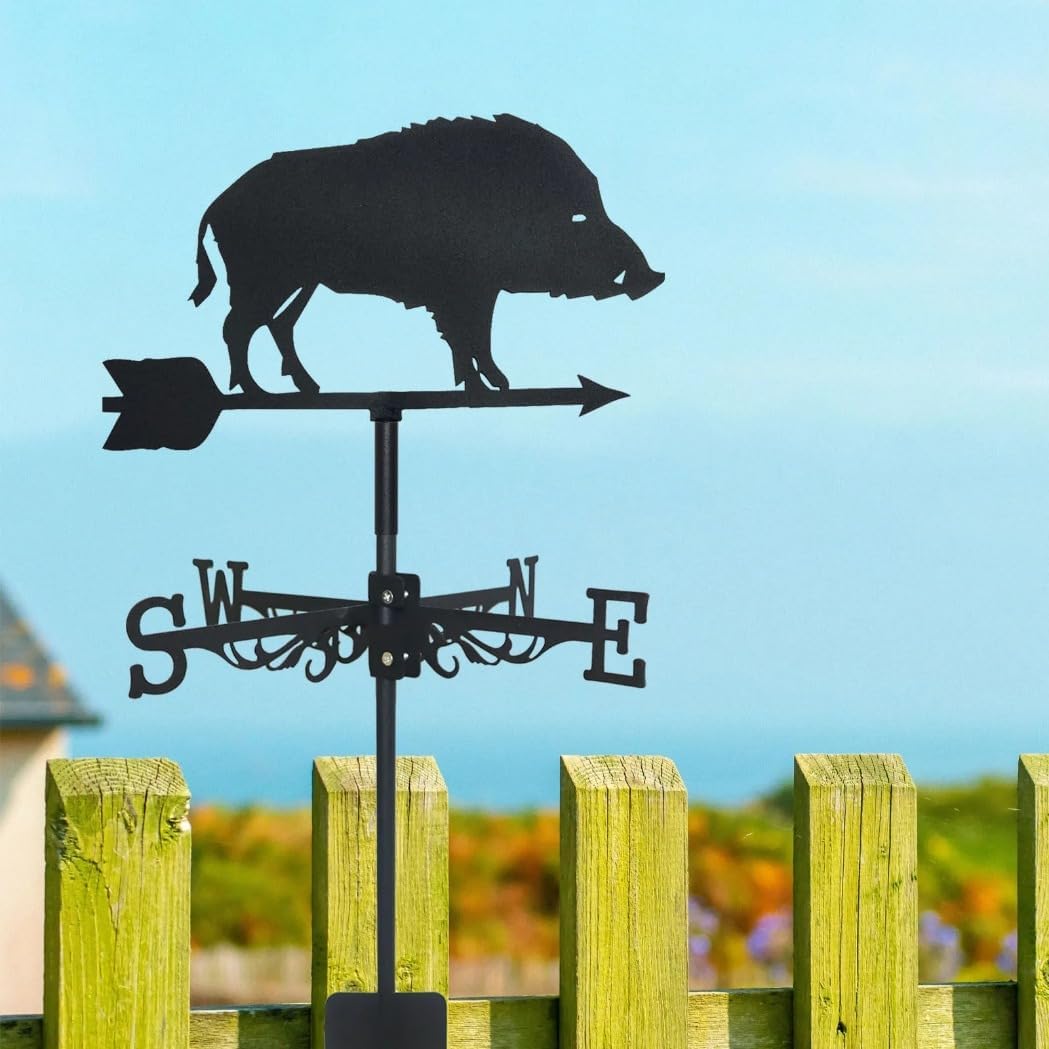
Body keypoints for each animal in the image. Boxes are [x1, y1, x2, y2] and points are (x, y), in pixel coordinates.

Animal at [189, 114, 664, 396]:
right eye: (581, 216)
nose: (652, 276)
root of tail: (217, 204)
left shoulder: (471, 291)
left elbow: (468, 338)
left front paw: (487, 387)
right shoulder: (466, 290)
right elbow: (470, 336)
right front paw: (497, 386)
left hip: (304, 283)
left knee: (276, 324)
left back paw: (309, 387)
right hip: (266, 280)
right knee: (238, 327)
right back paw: (256, 392)